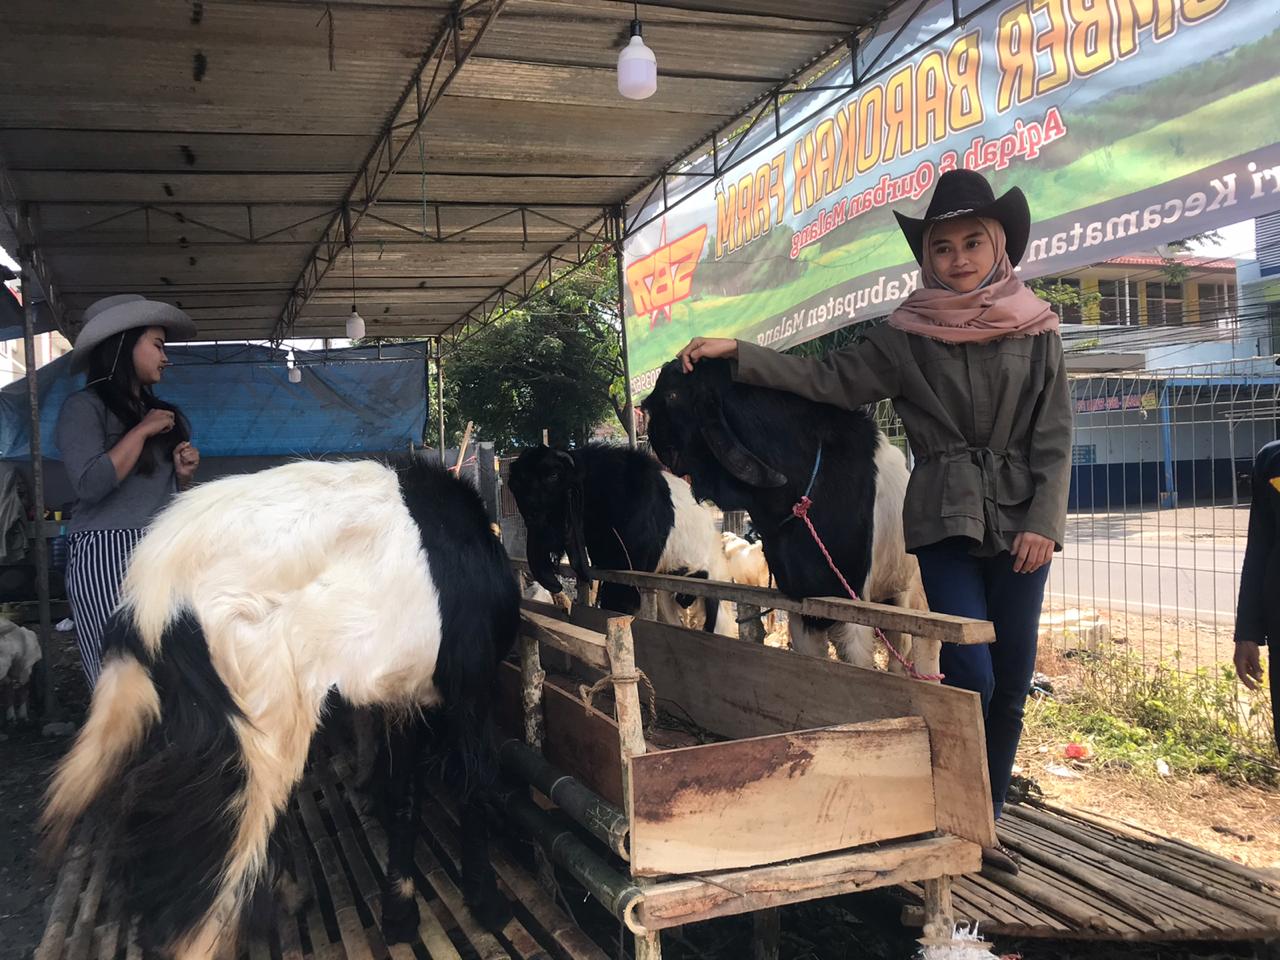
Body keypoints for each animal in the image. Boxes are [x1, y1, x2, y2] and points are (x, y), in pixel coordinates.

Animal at [42, 458, 517, 960]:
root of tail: (146, 610)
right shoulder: (471, 682)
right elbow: (473, 782)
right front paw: (488, 907)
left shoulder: (404, 695)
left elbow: (405, 788)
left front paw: (400, 914)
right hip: (249, 729)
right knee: (200, 887)